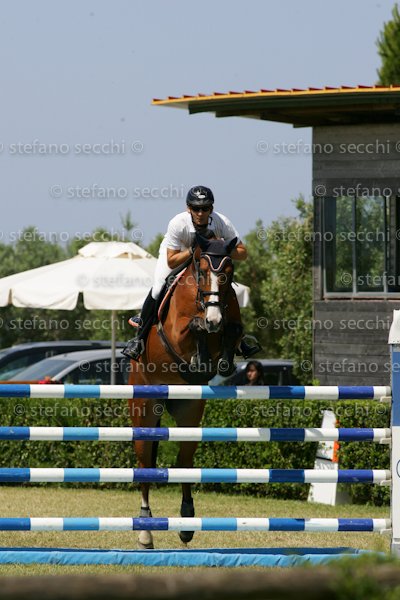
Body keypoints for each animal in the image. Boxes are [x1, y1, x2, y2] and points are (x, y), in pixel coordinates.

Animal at [128, 232, 243, 549]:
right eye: (202, 272)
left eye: (228, 274)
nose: (214, 318)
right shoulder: (177, 331)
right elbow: (193, 326)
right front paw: (200, 347)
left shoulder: (230, 320)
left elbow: (232, 331)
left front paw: (221, 360)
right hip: (144, 408)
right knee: (144, 463)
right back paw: (145, 530)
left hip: (189, 410)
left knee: (185, 462)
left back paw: (187, 522)